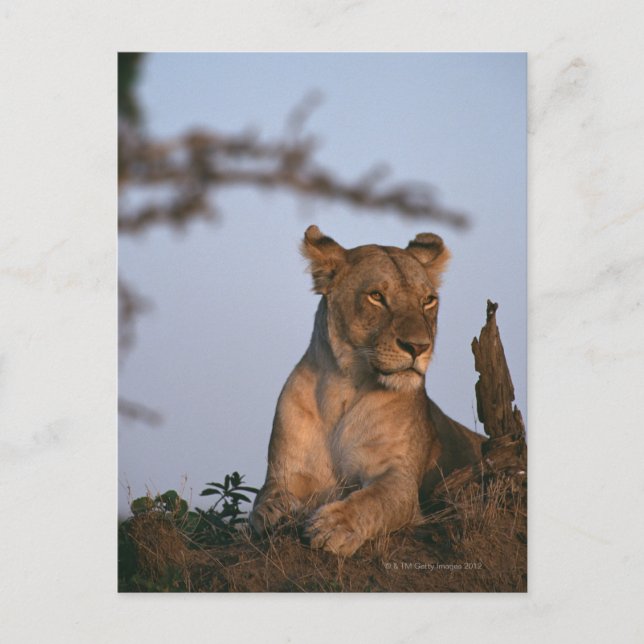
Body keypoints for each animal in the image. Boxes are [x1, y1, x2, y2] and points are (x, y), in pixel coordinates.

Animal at [250, 226, 483, 556]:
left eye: (428, 300)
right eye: (376, 296)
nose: (418, 347)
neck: (341, 389)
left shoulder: (399, 480)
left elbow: (373, 500)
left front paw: (333, 526)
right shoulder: (284, 472)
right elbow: (263, 499)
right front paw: (276, 514)